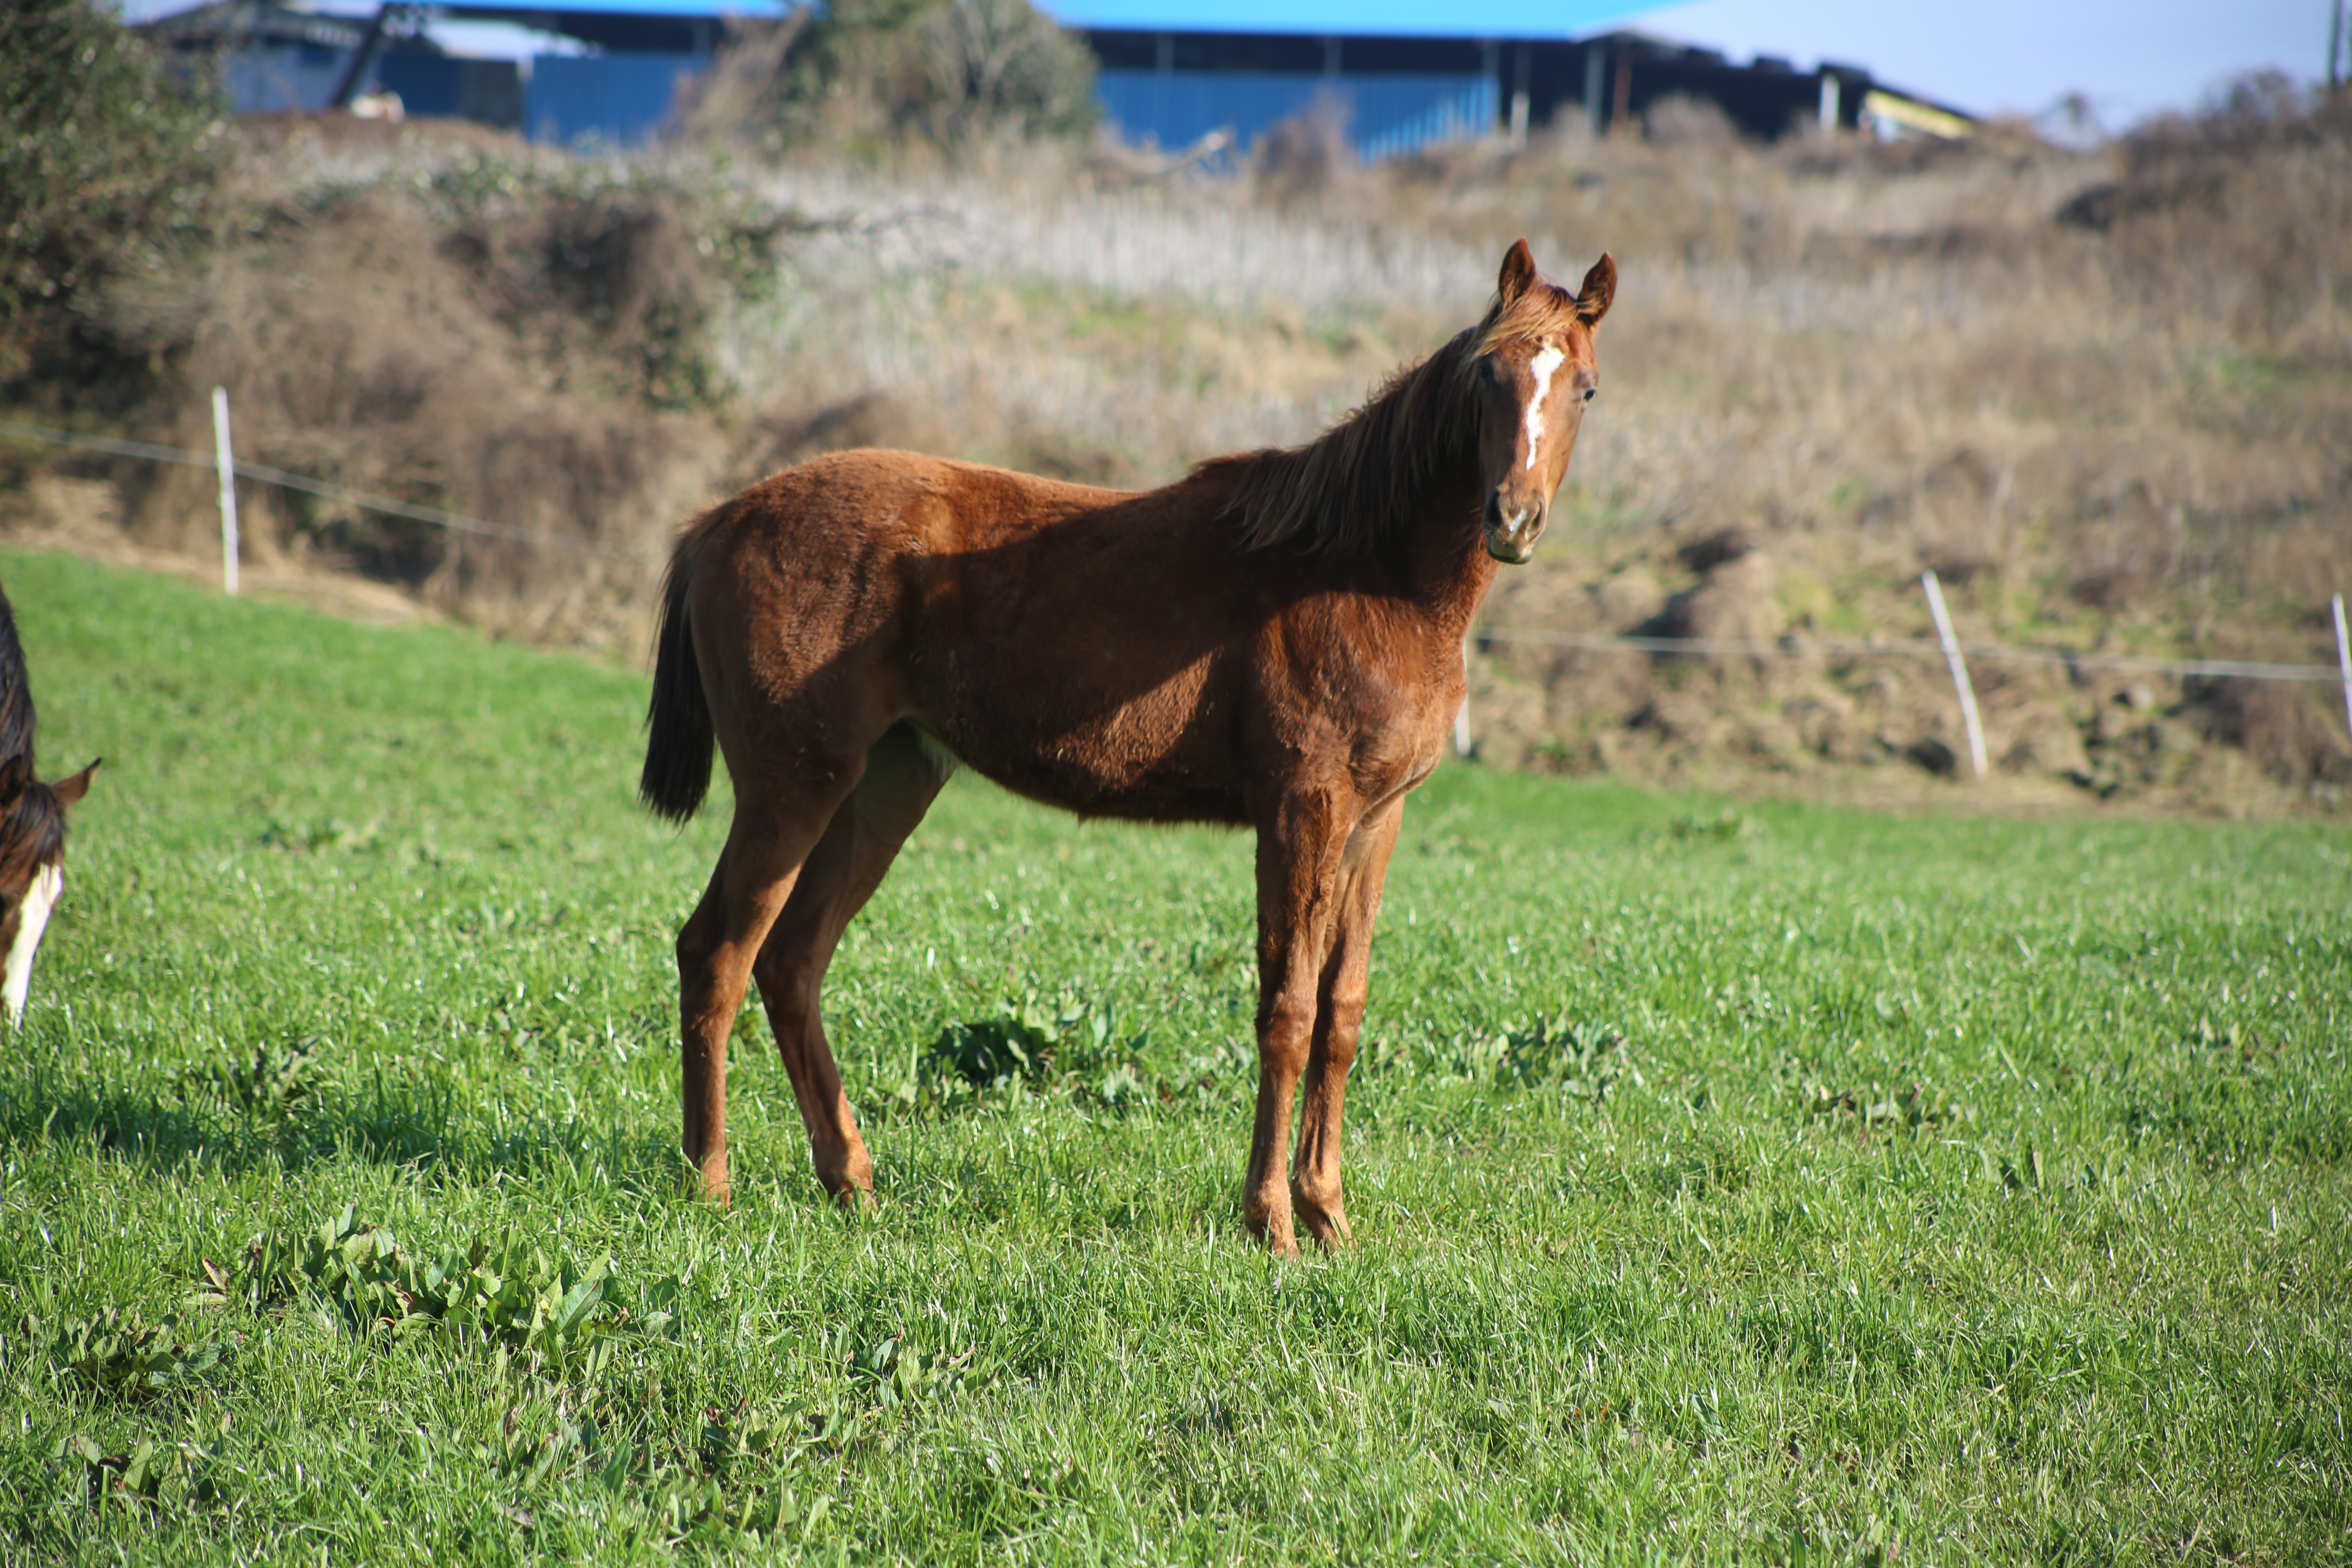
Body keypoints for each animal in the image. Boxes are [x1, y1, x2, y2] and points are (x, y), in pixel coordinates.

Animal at [635, 240, 1608, 1260]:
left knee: (792, 961)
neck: (1368, 575)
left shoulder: (1375, 821)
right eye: (1488, 374)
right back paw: (711, 1185)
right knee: (717, 953)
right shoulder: (1301, 810)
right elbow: (1287, 1011)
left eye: (1585, 388)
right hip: (791, 790)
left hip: (886, 786)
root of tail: (717, 521)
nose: (1513, 520)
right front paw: (1273, 1222)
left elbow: (1341, 1013)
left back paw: (851, 1183)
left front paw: (1329, 1216)